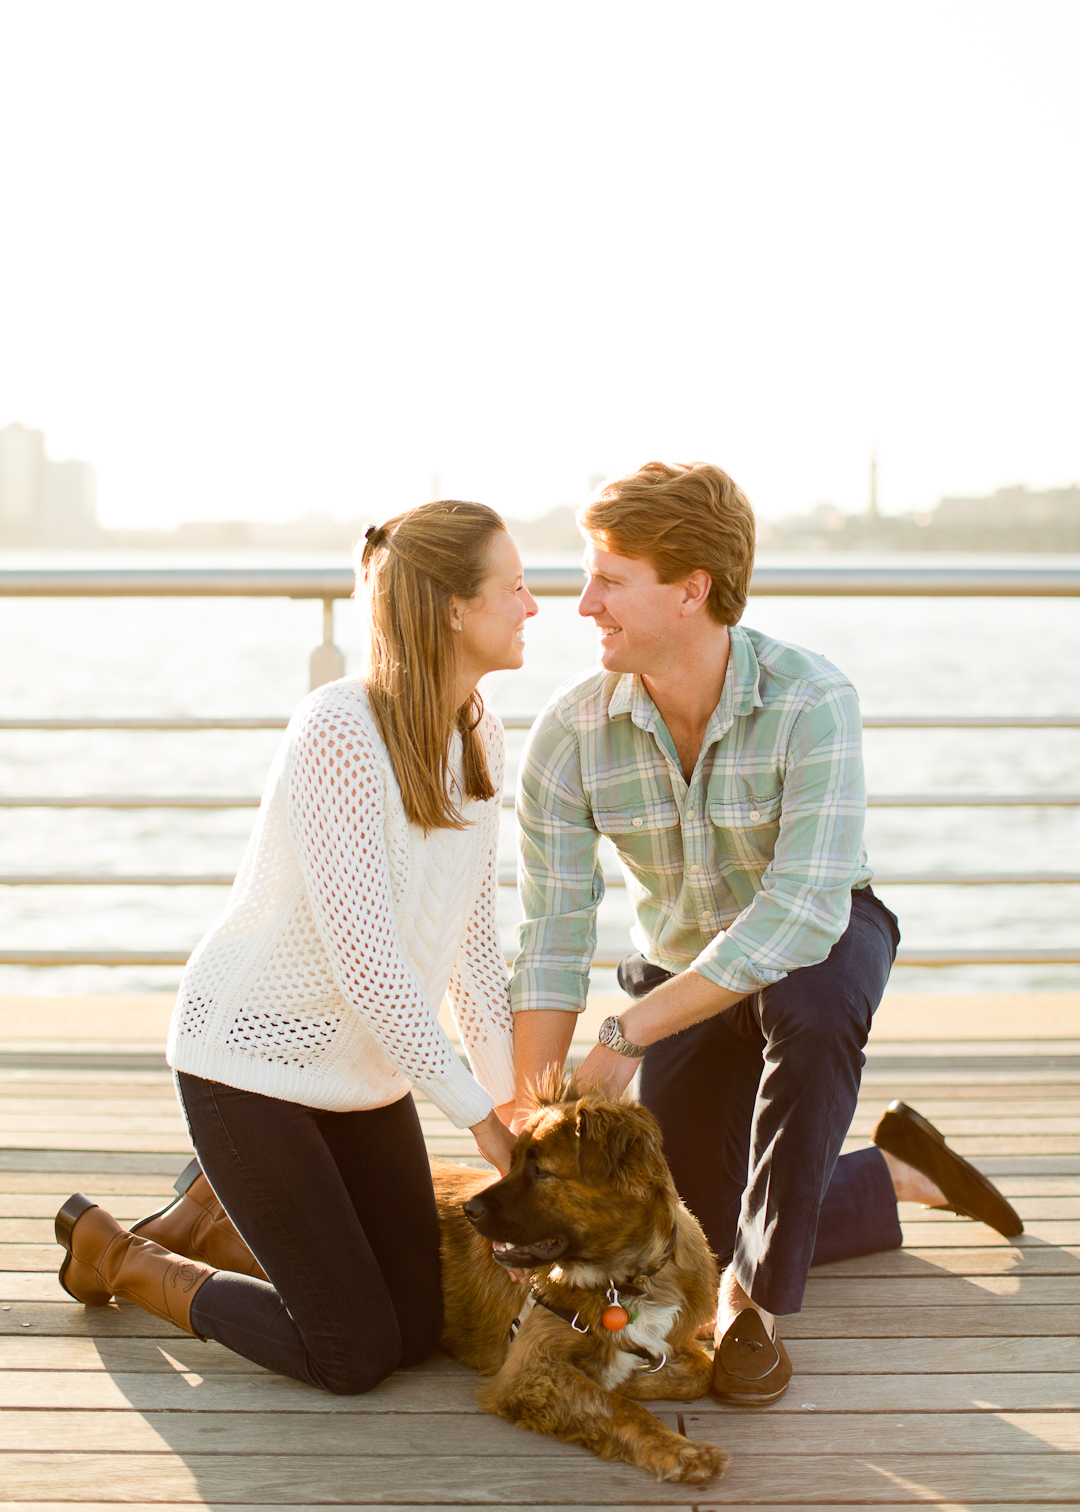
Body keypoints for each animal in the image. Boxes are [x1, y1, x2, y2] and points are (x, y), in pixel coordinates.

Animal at [429, 1076, 723, 1487]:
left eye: (540, 1171)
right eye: (512, 1163)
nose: (468, 1209)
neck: (623, 1282)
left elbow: (702, 1371)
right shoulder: (530, 1367)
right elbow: (614, 1405)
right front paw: (681, 1450)